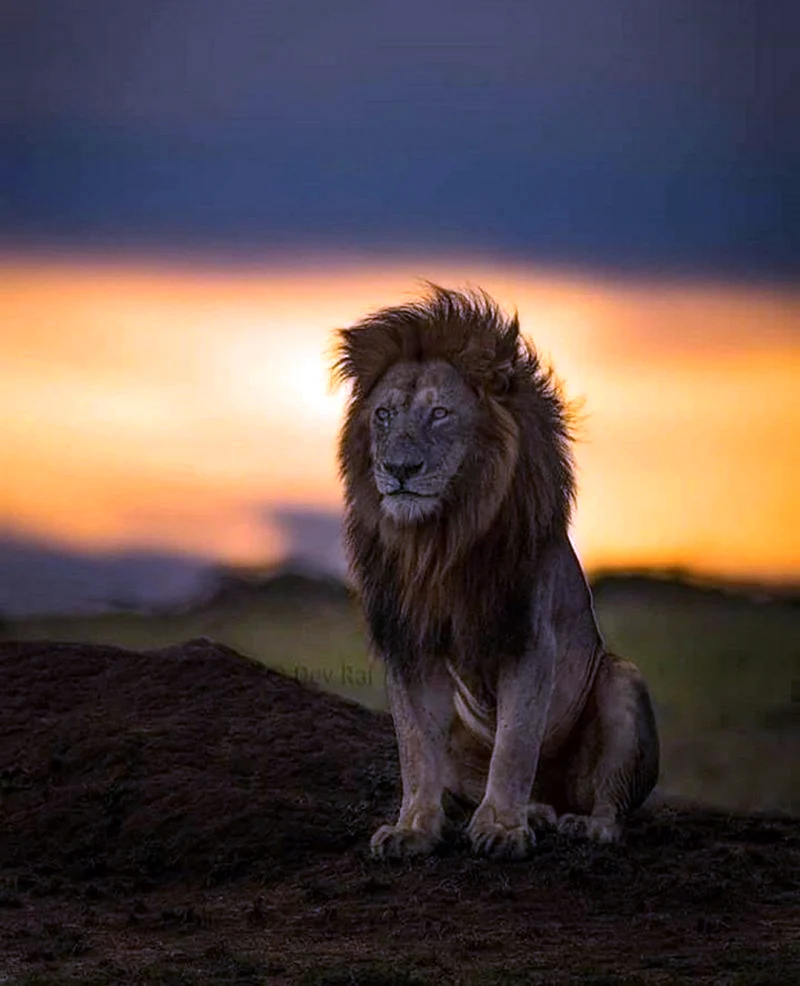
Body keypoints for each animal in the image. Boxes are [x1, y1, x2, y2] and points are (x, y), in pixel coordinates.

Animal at [333, 286, 659, 860]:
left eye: (440, 413)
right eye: (385, 415)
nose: (398, 470)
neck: (436, 541)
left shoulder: (527, 637)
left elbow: (515, 744)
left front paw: (503, 829)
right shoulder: (409, 644)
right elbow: (415, 750)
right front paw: (413, 829)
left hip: (622, 679)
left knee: (609, 805)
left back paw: (581, 825)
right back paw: (536, 812)